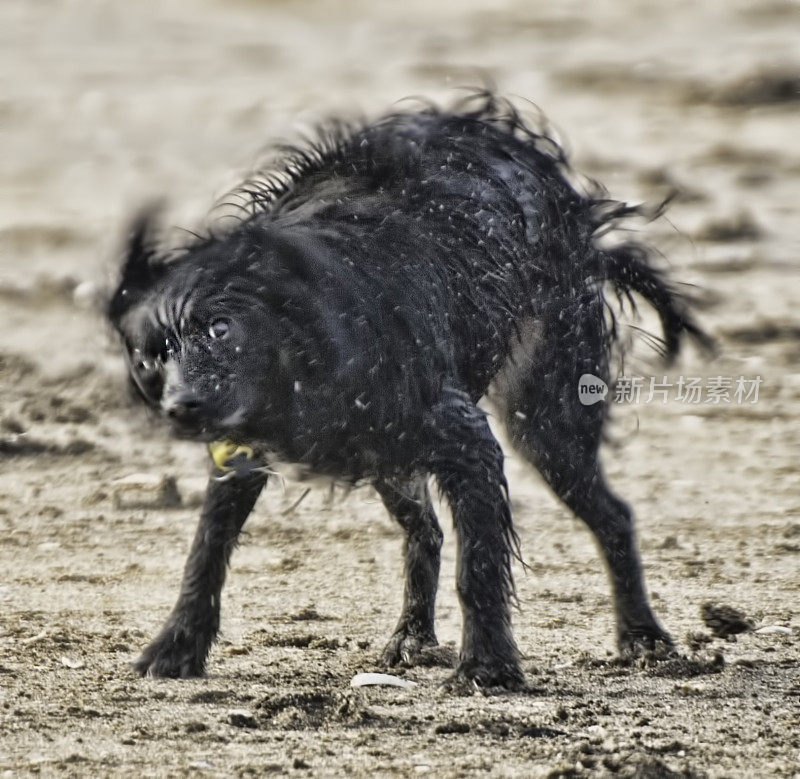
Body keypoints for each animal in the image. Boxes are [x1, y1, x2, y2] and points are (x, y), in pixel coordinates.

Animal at [106, 93, 708, 688]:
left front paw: (487, 666)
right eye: (148, 356)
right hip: (388, 453)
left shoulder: (466, 441)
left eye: (220, 328)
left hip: (545, 417)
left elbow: (479, 567)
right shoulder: (242, 452)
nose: (182, 408)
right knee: (428, 532)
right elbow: (206, 548)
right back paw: (413, 635)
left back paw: (643, 637)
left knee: (611, 515)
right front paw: (177, 645)